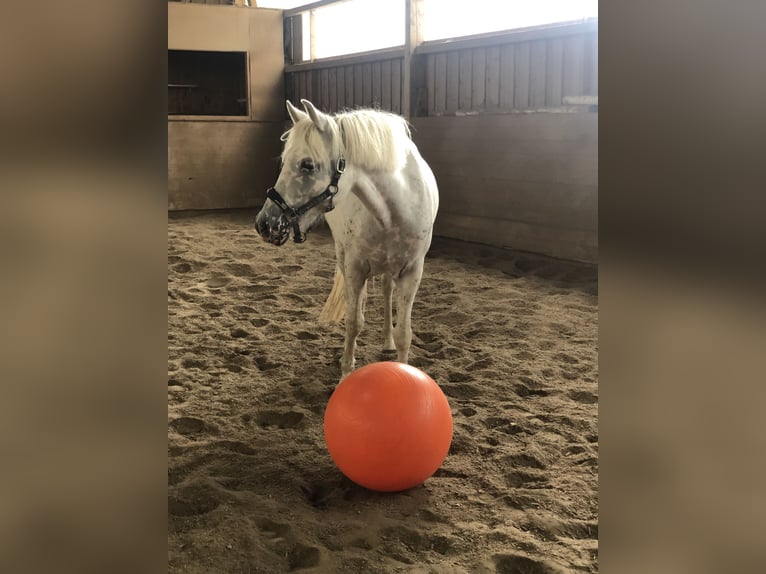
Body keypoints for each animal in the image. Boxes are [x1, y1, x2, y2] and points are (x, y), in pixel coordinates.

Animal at [256, 100, 440, 378]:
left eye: (307, 164)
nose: (265, 224)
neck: (396, 210)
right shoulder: (355, 267)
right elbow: (354, 323)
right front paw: (346, 373)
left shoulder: (412, 271)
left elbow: (404, 334)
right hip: (344, 256)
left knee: (386, 292)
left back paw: (386, 343)